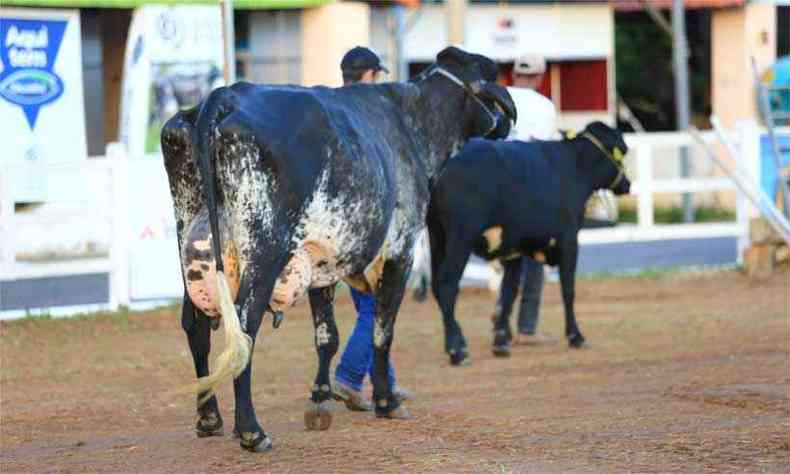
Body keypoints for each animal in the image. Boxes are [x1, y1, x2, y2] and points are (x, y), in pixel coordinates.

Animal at [161, 47, 520, 452]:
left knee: (195, 325)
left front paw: (320, 398)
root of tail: (222, 96)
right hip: (263, 248)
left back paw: (210, 419)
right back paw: (251, 429)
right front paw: (386, 400)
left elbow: (327, 336)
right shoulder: (400, 252)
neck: (411, 122)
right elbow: (382, 331)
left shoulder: (321, 261)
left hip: (191, 245)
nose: (508, 117)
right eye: (489, 71)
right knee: (244, 326)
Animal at [424, 123, 636, 366]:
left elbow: (509, 291)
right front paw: (575, 336)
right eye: (620, 152)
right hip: (460, 238)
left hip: (437, 237)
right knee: (448, 285)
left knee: (437, 286)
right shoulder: (569, 240)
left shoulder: (513, 248)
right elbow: (568, 290)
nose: (627, 184)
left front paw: (501, 340)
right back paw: (457, 350)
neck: (574, 166)